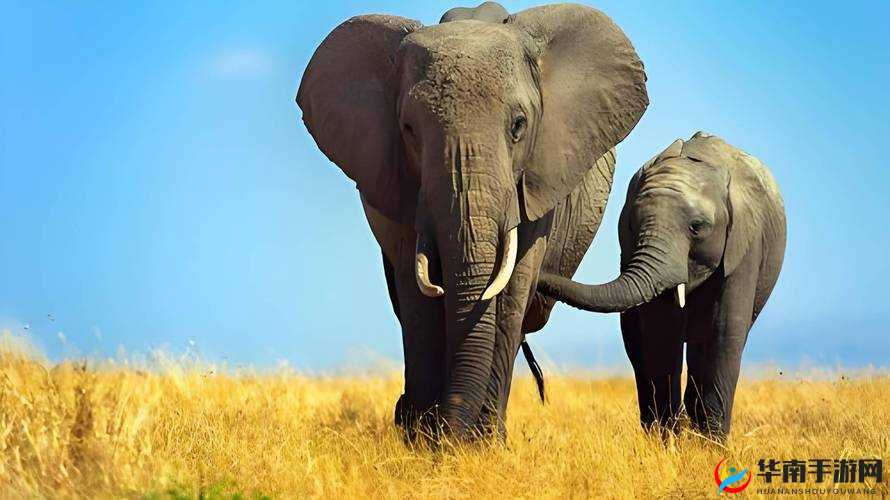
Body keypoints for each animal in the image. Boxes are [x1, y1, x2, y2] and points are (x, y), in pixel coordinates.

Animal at [296, 2, 648, 440]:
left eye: (518, 125)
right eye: (408, 130)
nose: (448, 429)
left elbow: (511, 288)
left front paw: (480, 443)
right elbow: (417, 293)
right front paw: (425, 439)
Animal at [538, 132, 786, 439]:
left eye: (697, 227)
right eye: (631, 225)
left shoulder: (744, 244)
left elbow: (724, 329)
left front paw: (710, 443)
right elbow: (662, 330)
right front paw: (668, 440)